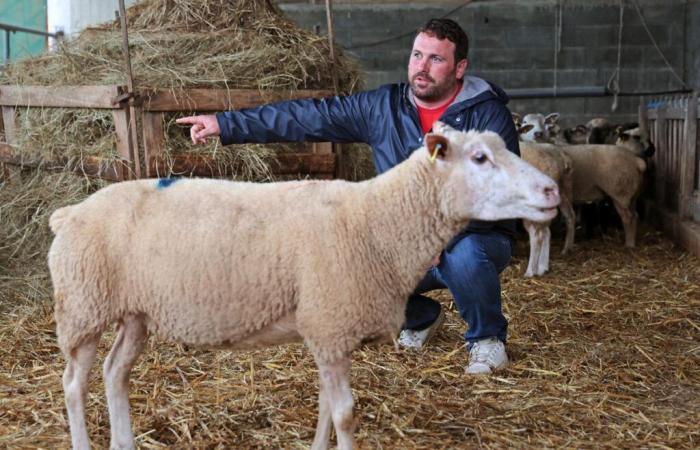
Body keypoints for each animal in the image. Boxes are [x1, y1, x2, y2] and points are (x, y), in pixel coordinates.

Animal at [47, 122, 556, 450]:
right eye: (479, 157)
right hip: (82, 307)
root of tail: (67, 213)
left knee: (115, 372)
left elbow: (326, 408)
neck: (375, 223)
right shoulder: (330, 324)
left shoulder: (327, 330)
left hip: (134, 312)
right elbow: (345, 413)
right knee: (73, 383)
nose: (551, 191)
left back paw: (124, 442)